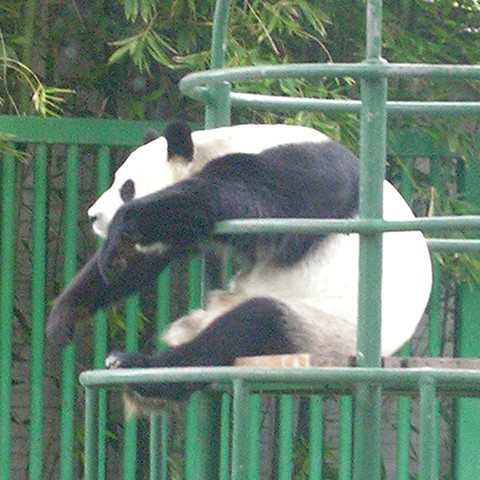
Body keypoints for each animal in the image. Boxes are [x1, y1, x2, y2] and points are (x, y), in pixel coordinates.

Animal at [47, 120, 434, 408]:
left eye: (126, 187)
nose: (94, 216)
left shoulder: (303, 171)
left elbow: (253, 201)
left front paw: (121, 225)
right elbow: (144, 257)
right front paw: (64, 316)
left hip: (325, 331)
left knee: (249, 327)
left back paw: (141, 367)